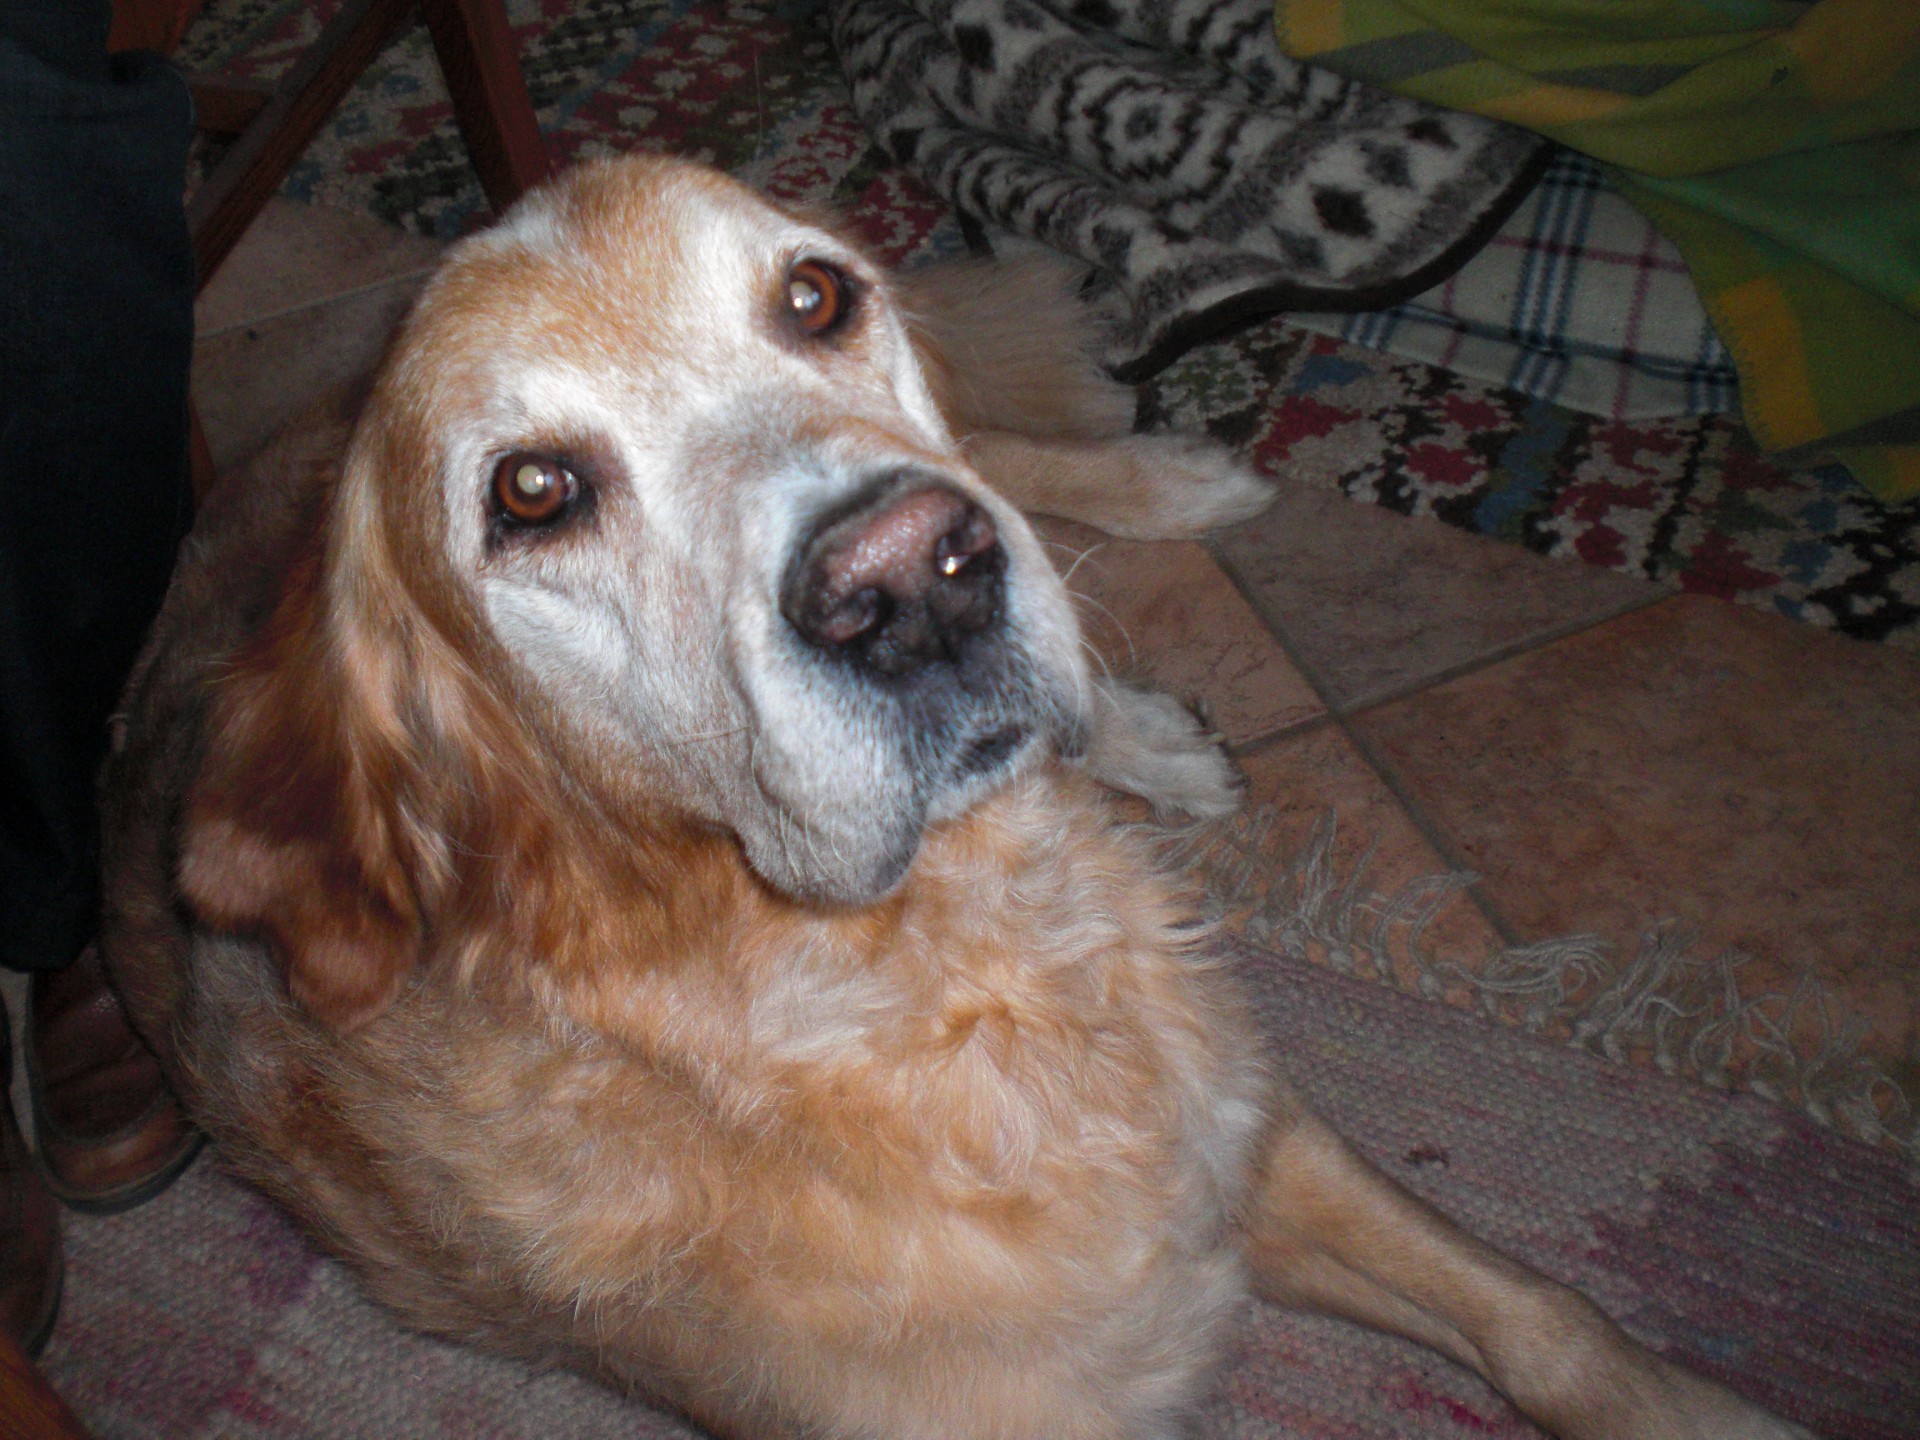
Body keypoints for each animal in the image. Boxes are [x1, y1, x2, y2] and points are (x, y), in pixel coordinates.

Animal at [99, 154, 1805, 1440]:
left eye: (812, 295)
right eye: (531, 493)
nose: (912, 581)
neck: (958, 983)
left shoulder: (1255, 1138)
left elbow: (1553, 1320)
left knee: (1003, 448)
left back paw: (1163, 536)